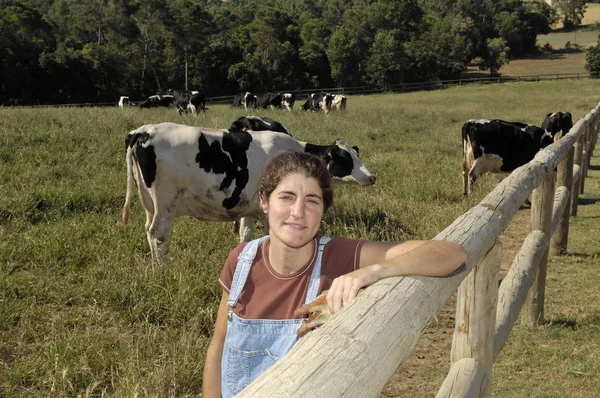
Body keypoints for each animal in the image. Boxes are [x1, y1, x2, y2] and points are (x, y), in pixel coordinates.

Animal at [122, 121, 376, 264]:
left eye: (356, 153)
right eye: (345, 159)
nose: (371, 177)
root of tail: (142, 131)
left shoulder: (248, 206)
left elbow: (245, 235)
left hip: (149, 202)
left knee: (148, 230)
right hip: (166, 201)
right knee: (158, 233)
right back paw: (163, 269)